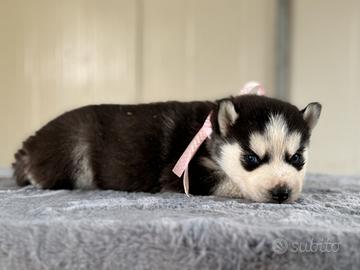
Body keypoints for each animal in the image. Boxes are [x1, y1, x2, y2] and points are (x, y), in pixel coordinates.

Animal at [11, 95, 320, 202]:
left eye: (296, 158)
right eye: (251, 158)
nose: (281, 192)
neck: (208, 134)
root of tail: (29, 146)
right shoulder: (190, 175)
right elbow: (230, 182)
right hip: (72, 148)